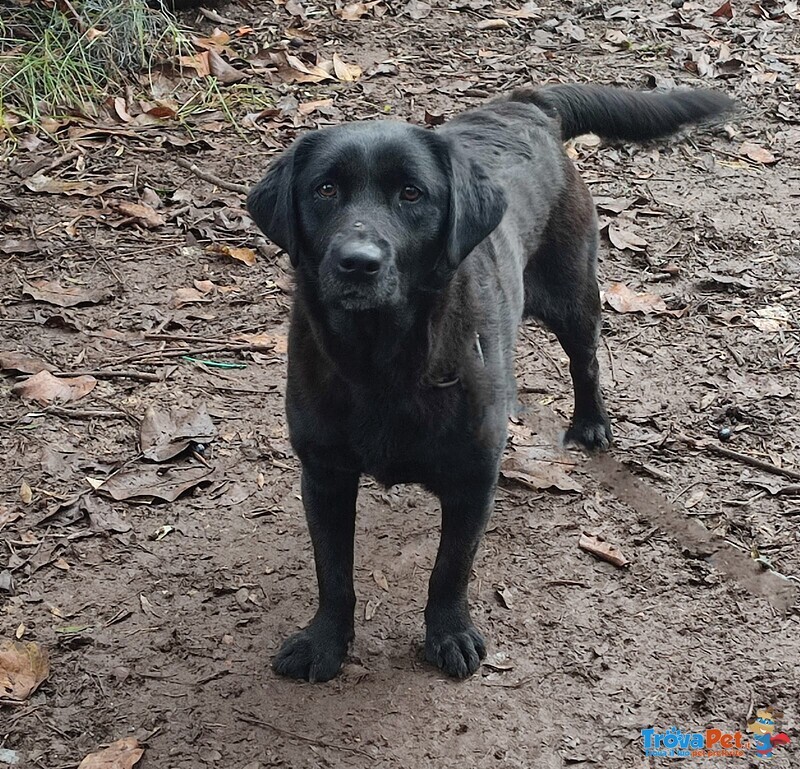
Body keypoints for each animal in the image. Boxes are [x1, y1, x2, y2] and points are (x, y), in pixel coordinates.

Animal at [248, 82, 732, 680]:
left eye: (412, 194)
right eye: (325, 189)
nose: (357, 262)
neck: (382, 361)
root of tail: (529, 102)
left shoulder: (473, 479)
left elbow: (449, 570)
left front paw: (449, 634)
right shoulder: (325, 475)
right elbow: (333, 574)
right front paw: (325, 643)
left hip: (575, 296)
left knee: (586, 362)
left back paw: (591, 424)